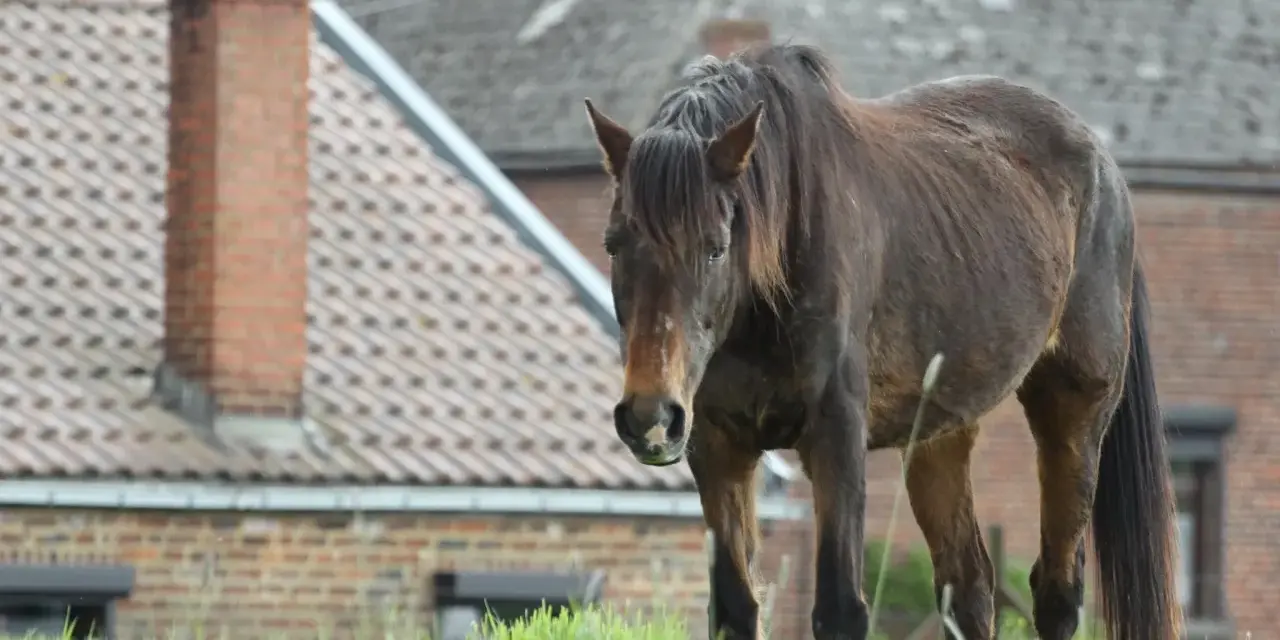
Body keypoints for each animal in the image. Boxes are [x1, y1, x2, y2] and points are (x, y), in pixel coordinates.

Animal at [582, 43, 1179, 640]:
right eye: (614, 244)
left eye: (715, 248)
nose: (650, 416)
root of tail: (1106, 167)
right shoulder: (717, 446)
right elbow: (735, 608)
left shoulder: (837, 438)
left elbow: (840, 608)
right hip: (940, 434)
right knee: (969, 586)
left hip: (1074, 413)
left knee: (1057, 590)